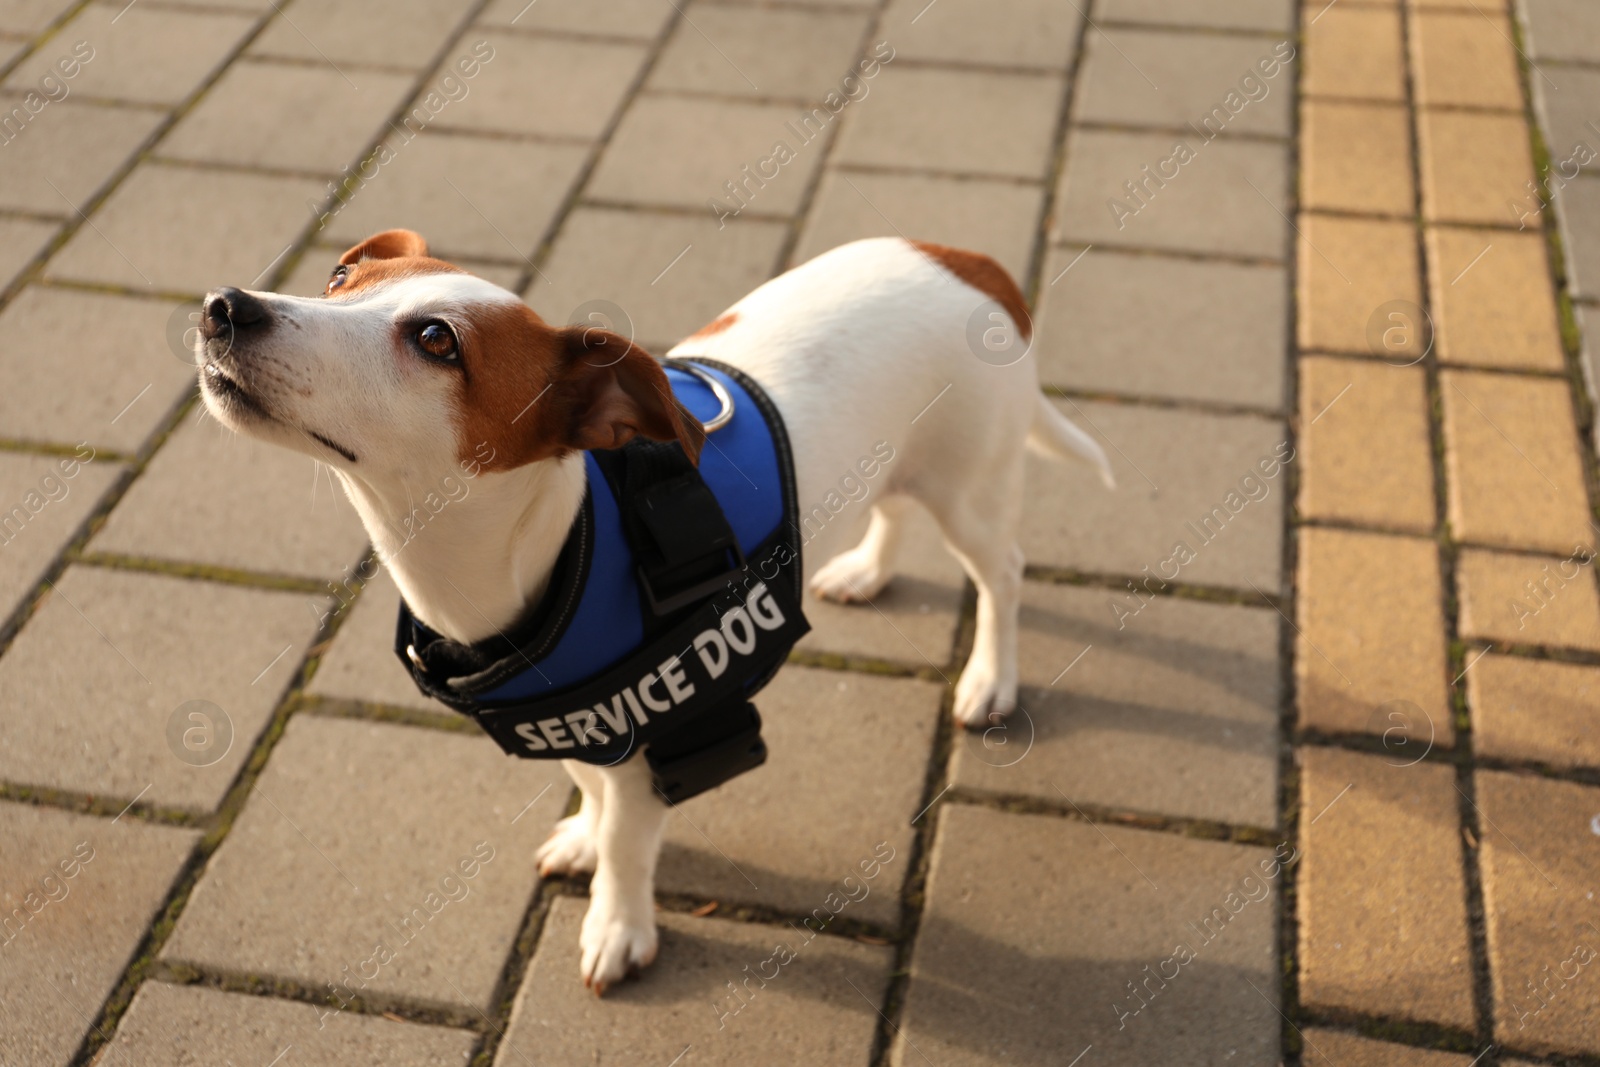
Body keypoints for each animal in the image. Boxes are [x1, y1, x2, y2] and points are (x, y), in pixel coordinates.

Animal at [200, 230, 1113, 998]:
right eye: (339, 278)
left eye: (436, 340)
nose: (226, 304)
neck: (548, 544)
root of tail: (969, 260)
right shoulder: (577, 718)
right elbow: (591, 788)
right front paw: (582, 832)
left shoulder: (655, 731)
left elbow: (629, 839)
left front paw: (618, 922)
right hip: (897, 461)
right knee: (891, 507)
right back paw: (866, 570)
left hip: (972, 490)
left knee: (1003, 574)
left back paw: (990, 678)